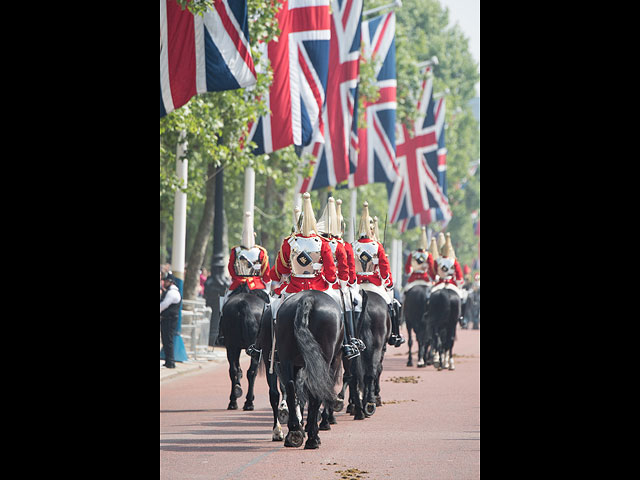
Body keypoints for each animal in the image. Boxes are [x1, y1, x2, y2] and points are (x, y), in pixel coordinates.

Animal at [276, 288, 344, 450]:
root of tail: (308, 298)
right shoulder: (334, 361)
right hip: (326, 361)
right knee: (316, 392)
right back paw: (313, 438)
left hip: (286, 359)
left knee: (290, 386)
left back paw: (294, 432)